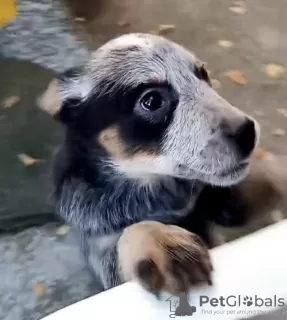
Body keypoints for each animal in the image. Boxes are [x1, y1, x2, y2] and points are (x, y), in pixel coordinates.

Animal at [40, 33, 260, 296]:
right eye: (152, 100)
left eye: (203, 74)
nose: (248, 132)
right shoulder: (100, 248)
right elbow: (132, 232)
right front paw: (161, 242)